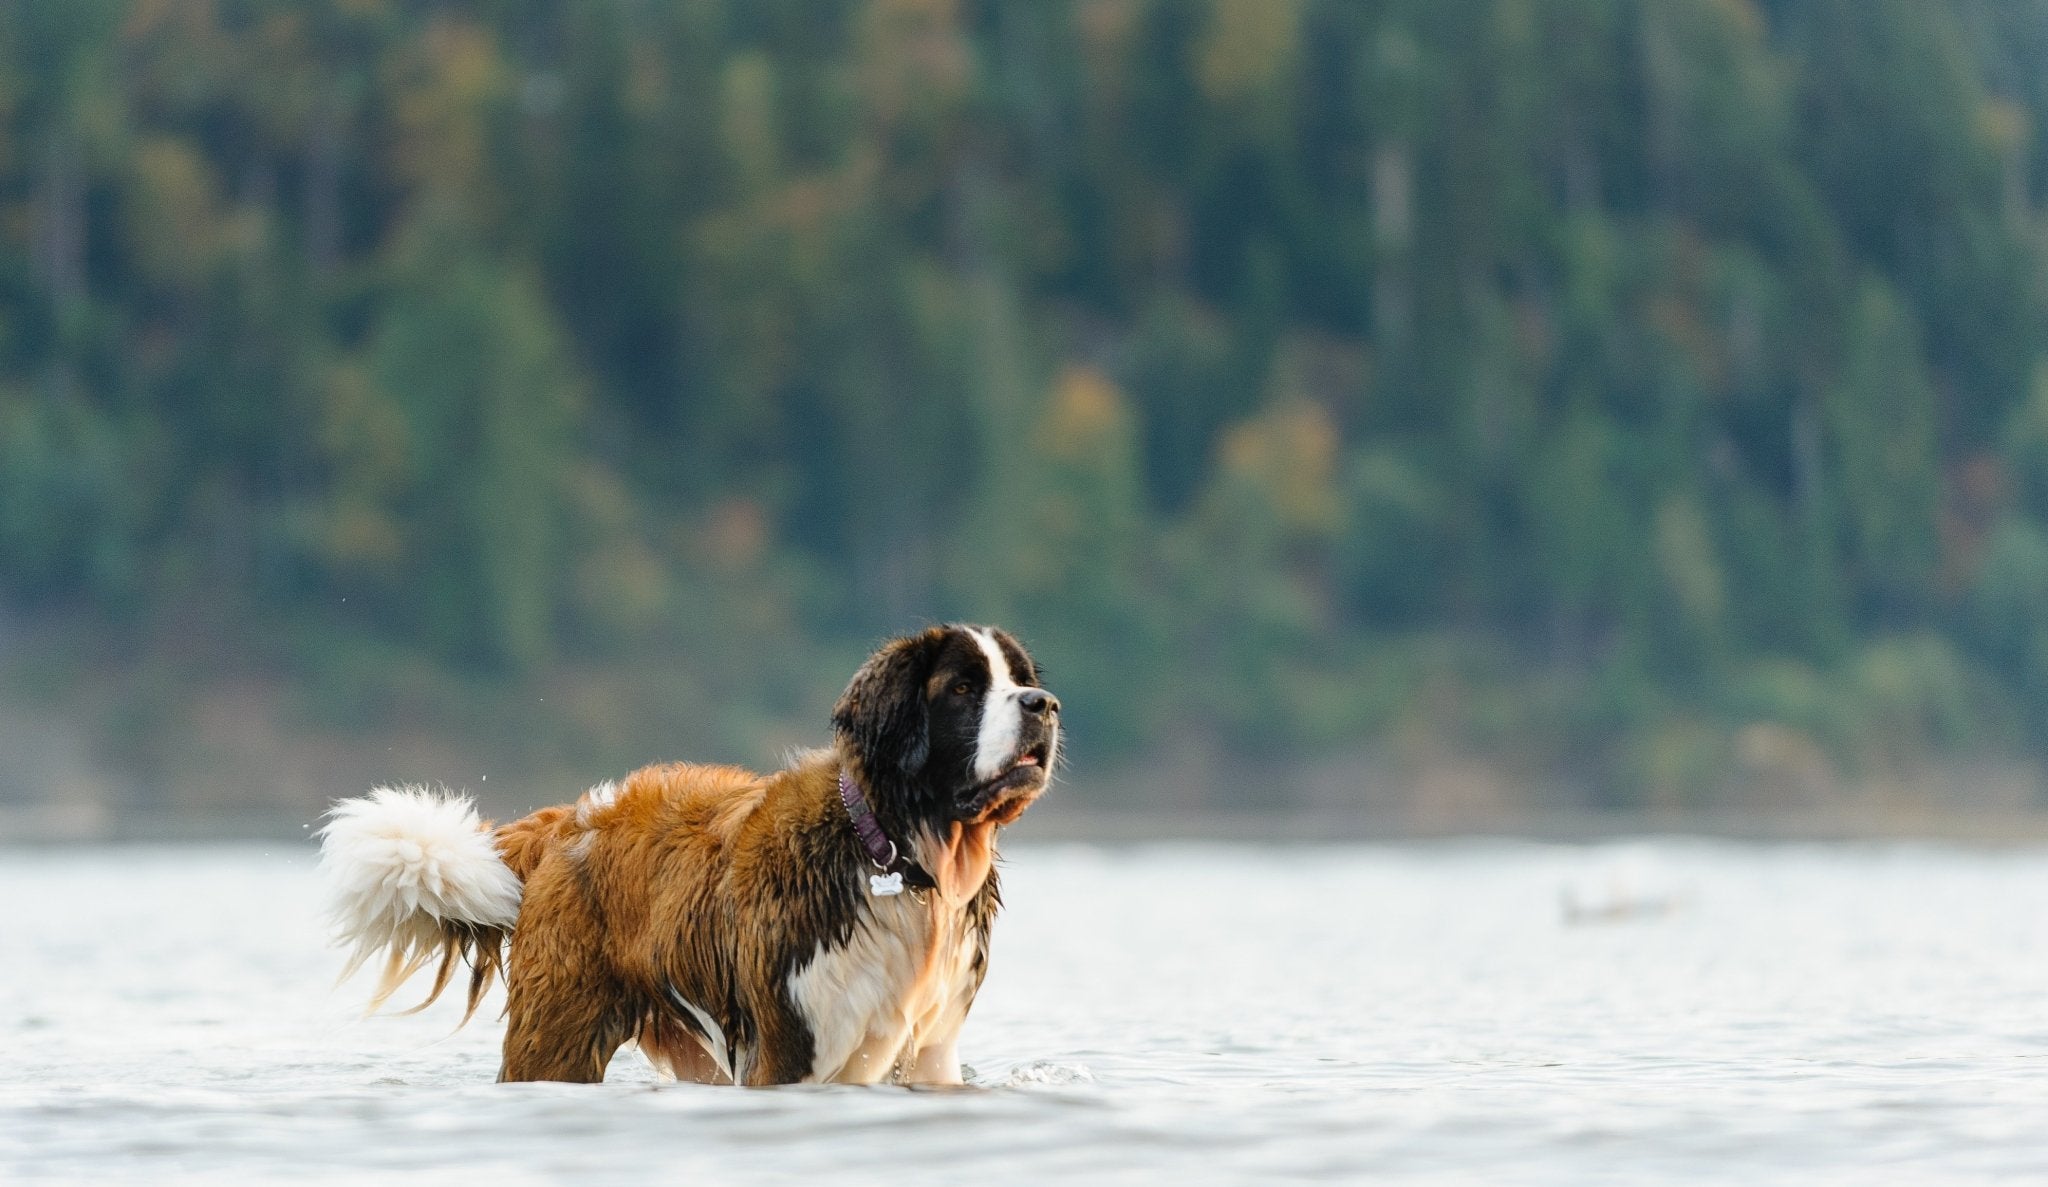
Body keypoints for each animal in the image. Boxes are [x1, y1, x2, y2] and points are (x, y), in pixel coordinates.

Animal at [319, 630, 1064, 1088]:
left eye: (1021, 680)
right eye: (962, 688)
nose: (1044, 704)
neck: (891, 852)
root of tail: (571, 816)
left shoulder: (931, 1049)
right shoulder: (790, 1047)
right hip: (557, 1034)